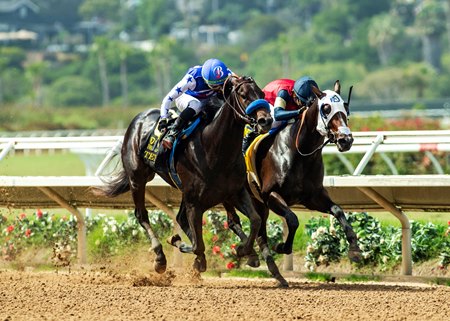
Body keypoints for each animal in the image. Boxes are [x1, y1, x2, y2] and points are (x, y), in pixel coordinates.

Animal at [94, 75, 274, 272]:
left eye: (262, 94)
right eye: (243, 95)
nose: (266, 121)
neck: (214, 148)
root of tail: (138, 118)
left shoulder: (234, 192)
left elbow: (255, 220)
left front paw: (245, 251)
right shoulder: (195, 203)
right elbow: (198, 245)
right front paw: (185, 248)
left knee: (180, 218)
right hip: (137, 179)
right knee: (142, 215)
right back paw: (160, 256)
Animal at [225, 80, 362, 284]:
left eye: (345, 107)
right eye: (326, 108)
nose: (346, 140)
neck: (299, 151)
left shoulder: (313, 197)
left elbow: (338, 210)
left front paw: (355, 250)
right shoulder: (270, 195)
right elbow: (293, 220)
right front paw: (282, 246)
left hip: (257, 203)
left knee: (259, 229)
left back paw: (274, 272)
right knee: (236, 223)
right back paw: (252, 255)